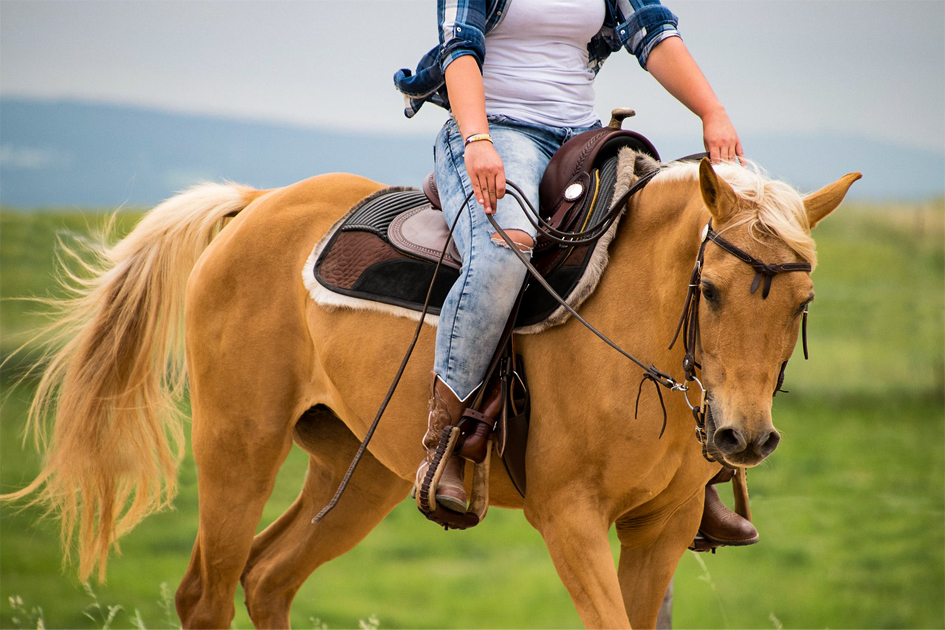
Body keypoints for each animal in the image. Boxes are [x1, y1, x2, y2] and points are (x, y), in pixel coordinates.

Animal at [4, 150, 859, 629]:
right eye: (708, 290)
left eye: (802, 303)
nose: (742, 437)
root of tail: (256, 204)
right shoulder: (570, 517)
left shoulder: (661, 528)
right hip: (237, 446)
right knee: (205, 596)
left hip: (358, 472)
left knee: (268, 577)